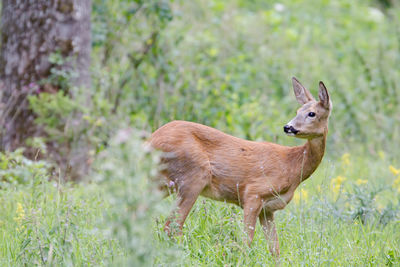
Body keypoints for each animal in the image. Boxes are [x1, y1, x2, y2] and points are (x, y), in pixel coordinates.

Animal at [150, 76, 332, 256]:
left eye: (311, 113)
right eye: (297, 111)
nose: (288, 127)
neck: (292, 165)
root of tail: (151, 140)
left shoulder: (268, 210)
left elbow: (275, 249)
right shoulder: (253, 193)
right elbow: (246, 242)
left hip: (164, 183)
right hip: (193, 177)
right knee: (172, 227)